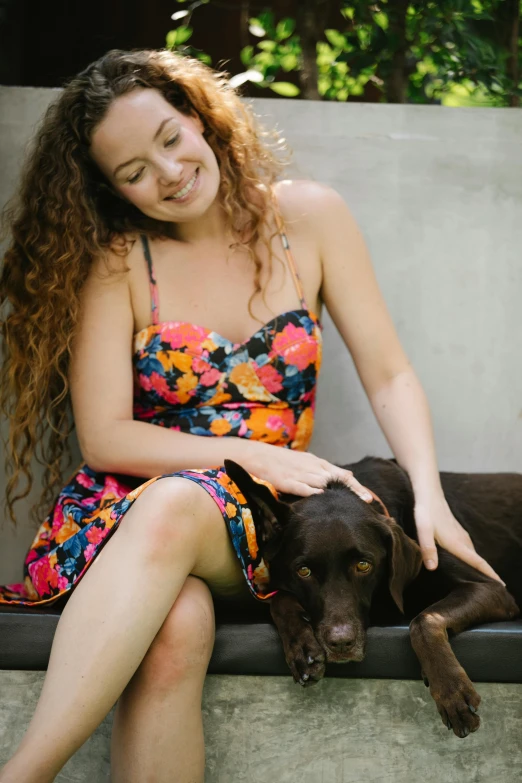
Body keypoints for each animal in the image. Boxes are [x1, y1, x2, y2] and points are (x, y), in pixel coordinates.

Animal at [223, 456, 520, 740]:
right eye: (304, 571)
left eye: (364, 565)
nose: (341, 643)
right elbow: (279, 600)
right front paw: (302, 648)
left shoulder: (492, 588)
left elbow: (424, 621)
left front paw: (451, 691)